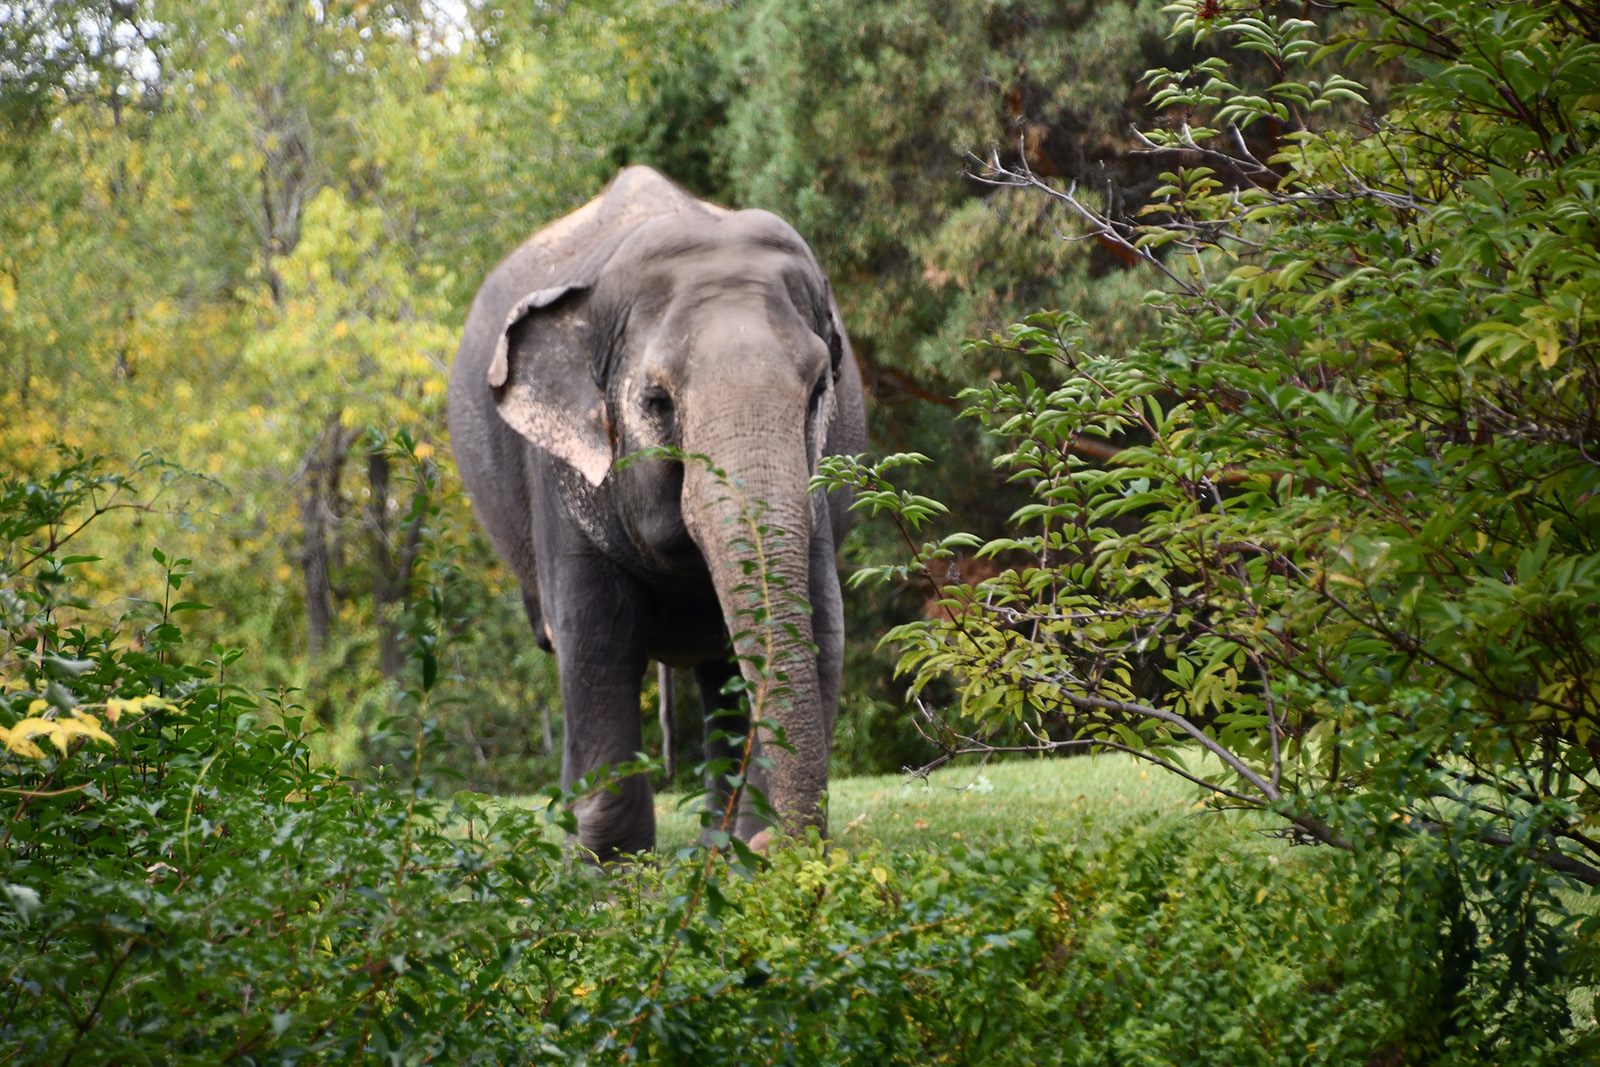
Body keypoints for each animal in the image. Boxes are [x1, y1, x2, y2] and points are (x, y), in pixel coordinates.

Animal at [448, 166, 866, 861]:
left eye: (818, 392)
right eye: (656, 401)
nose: (783, 848)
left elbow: (823, 631)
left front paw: (752, 856)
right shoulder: (558, 475)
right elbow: (595, 641)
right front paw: (608, 869)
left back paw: (717, 846)